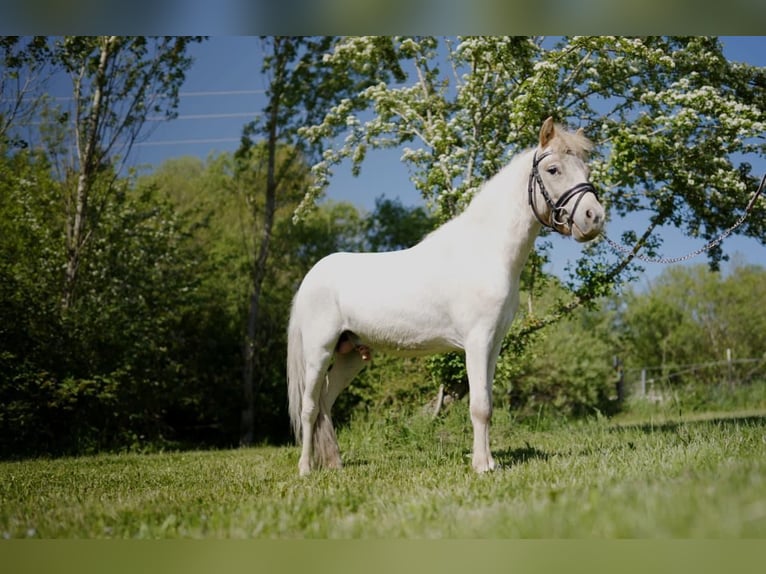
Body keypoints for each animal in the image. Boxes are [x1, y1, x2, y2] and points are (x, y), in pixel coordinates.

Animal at [287, 117, 605, 476]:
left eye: (586, 168)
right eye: (553, 169)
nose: (594, 218)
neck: (485, 251)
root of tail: (312, 276)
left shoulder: (493, 344)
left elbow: (487, 402)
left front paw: (489, 461)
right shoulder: (477, 341)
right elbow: (479, 406)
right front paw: (481, 466)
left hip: (350, 354)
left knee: (325, 401)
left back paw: (335, 463)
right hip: (319, 351)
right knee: (309, 407)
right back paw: (305, 469)